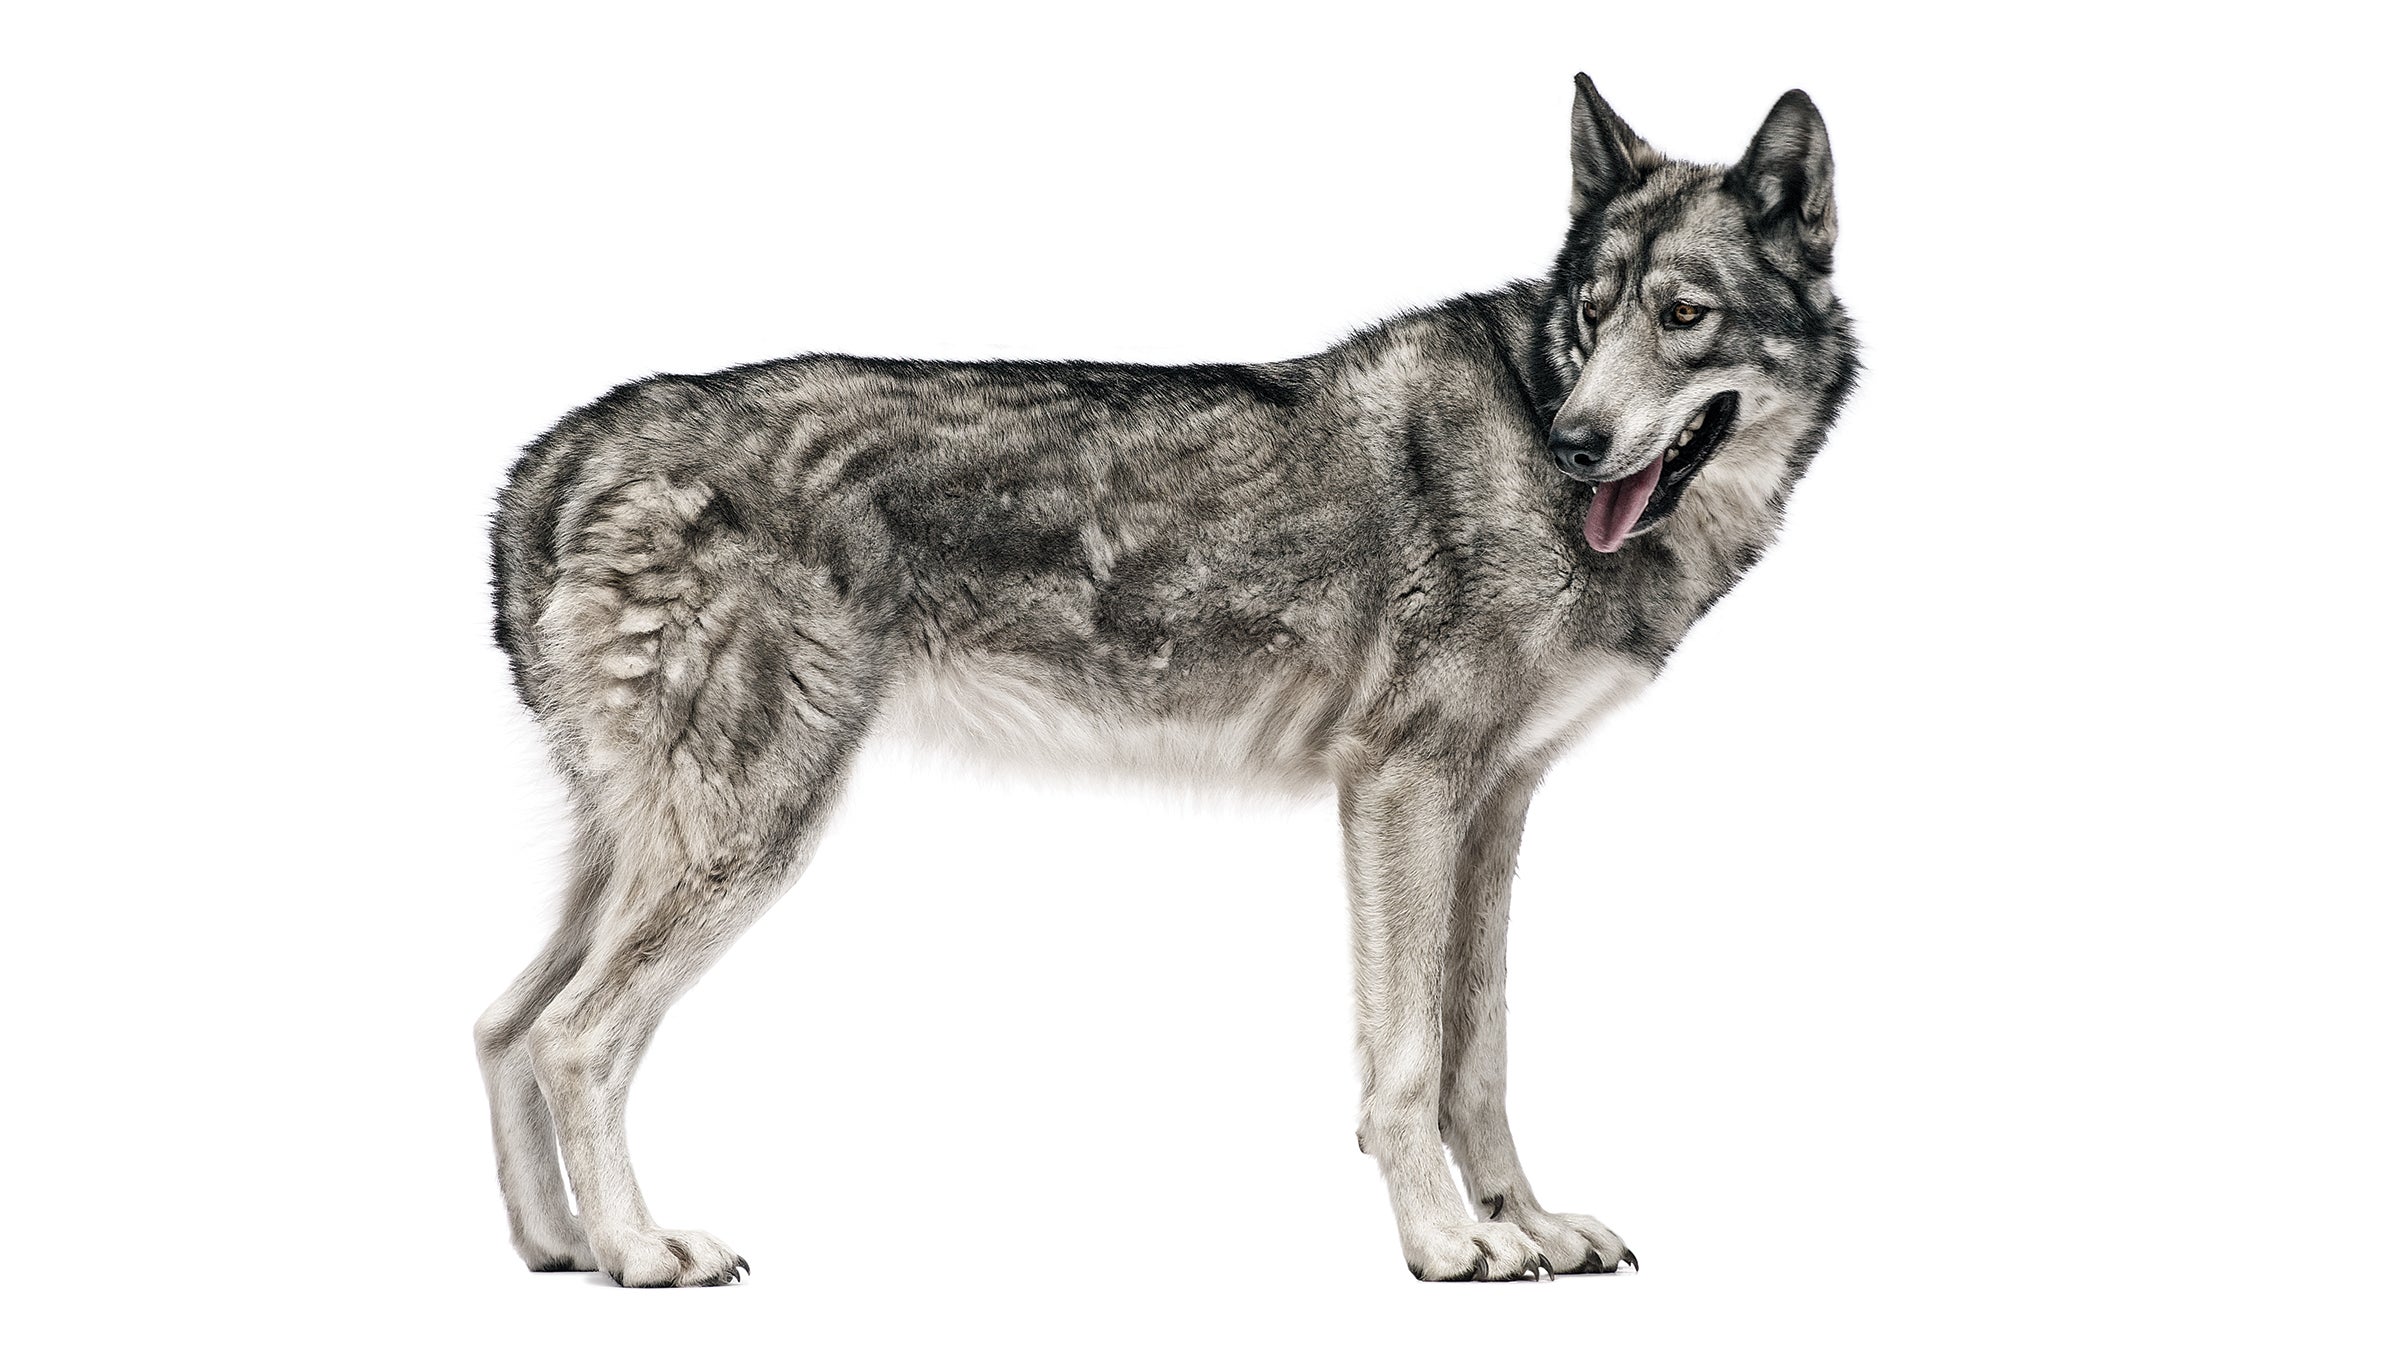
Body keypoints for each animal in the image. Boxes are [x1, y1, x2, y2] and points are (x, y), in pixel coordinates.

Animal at [476, 76, 1855, 1286]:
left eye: (1682, 318)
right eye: (1594, 313)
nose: (1575, 442)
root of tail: (565, 449)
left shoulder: (1494, 805)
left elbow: (1481, 1056)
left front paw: (1530, 1225)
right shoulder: (1401, 787)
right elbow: (1409, 1059)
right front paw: (1446, 1245)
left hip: (647, 852)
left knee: (502, 1025)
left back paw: (561, 1249)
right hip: (745, 843)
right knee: (572, 1037)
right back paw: (639, 1252)